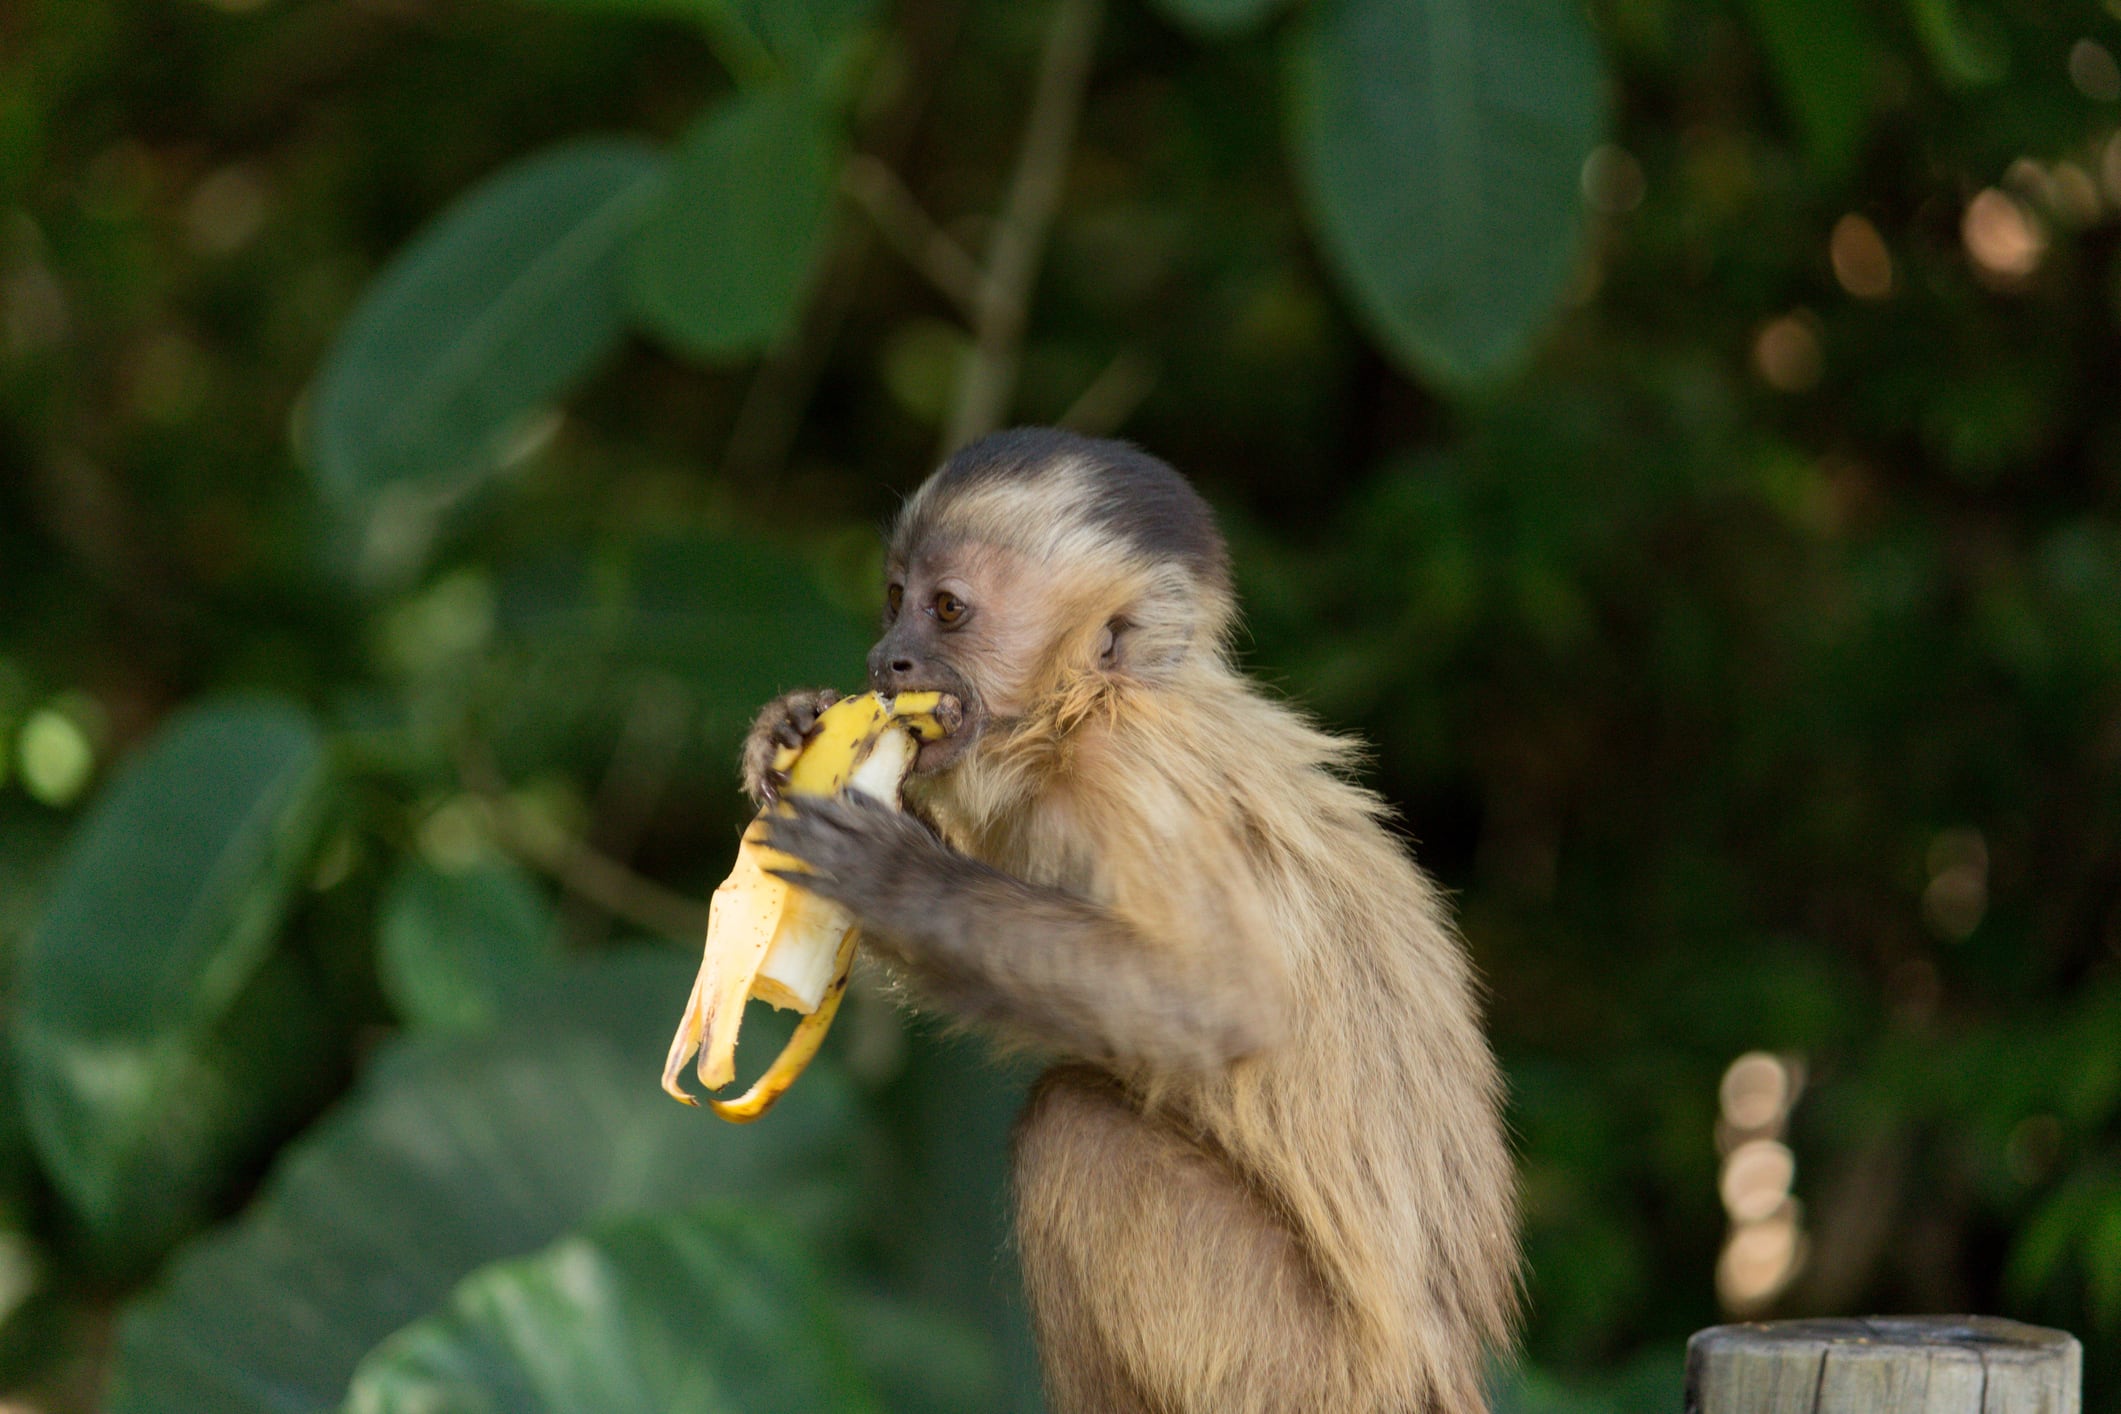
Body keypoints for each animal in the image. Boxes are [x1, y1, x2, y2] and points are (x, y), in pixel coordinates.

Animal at [741, 428, 1518, 1414]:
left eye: (945, 611)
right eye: (892, 598)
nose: (888, 660)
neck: (1083, 709)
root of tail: (1438, 1379)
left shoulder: (1126, 777)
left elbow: (1223, 1002)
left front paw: (892, 877)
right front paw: (784, 730)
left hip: (1305, 1373)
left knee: (1073, 1131)